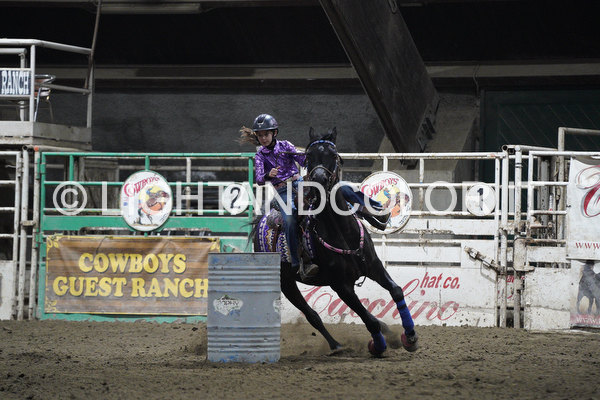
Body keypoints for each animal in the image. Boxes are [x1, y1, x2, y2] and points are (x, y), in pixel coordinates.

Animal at [251, 127, 419, 356]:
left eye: (333, 155)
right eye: (309, 157)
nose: (319, 180)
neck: (342, 232)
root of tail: (261, 223)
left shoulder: (374, 266)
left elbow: (396, 291)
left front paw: (409, 337)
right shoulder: (341, 286)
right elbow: (368, 319)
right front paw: (378, 345)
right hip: (286, 282)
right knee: (312, 315)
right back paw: (337, 345)